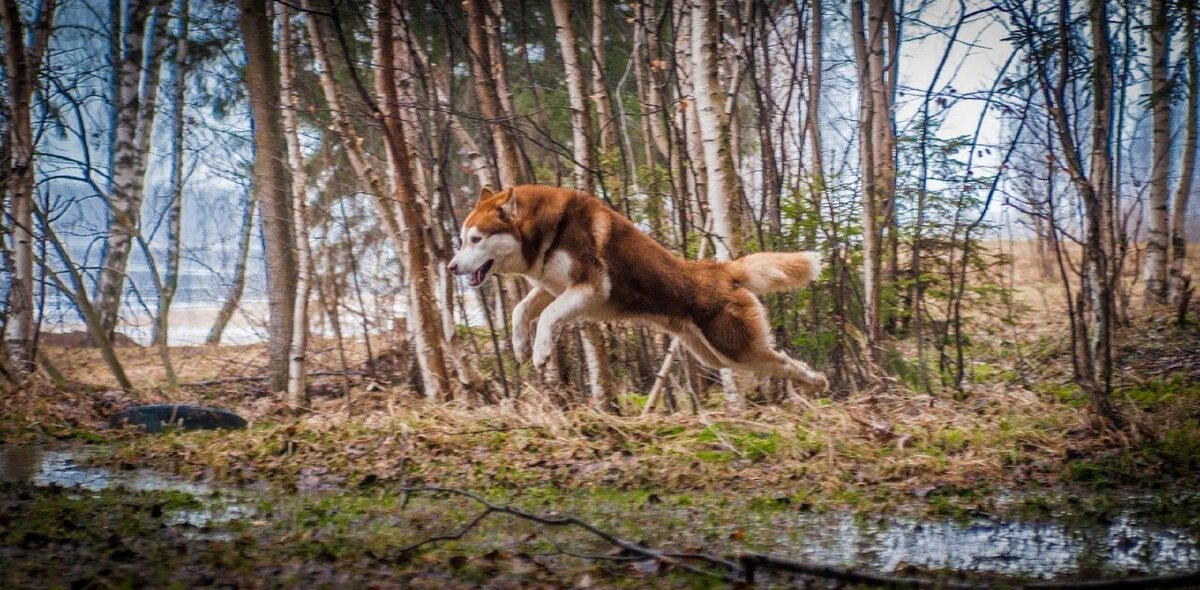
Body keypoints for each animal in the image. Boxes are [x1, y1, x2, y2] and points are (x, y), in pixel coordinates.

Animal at [446, 185, 830, 390]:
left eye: (476, 239)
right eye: (462, 240)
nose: (450, 268)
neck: (542, 233)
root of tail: (720, 268)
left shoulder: (592, 285)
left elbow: (548, 316)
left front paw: (540, 351)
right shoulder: (552, 285)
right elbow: (520, 310)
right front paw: (520, 346)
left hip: (734, 347)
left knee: (779, 359)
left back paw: (816, 380)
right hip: (716, 354)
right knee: (777, 362)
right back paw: (814, 382)